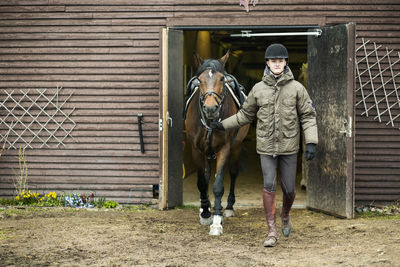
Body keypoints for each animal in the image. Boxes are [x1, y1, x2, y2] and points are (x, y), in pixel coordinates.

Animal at [185, 51, 248, 236]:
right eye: (199, 80)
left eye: (221, 79)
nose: (210, 108)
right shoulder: (196, 150)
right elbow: (201, 181)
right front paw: (206, 212)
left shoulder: (224, 149)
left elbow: (218, 184)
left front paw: (217, 221)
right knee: (206, 177)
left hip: (236, 147)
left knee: (233, 174)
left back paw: (228, 207)